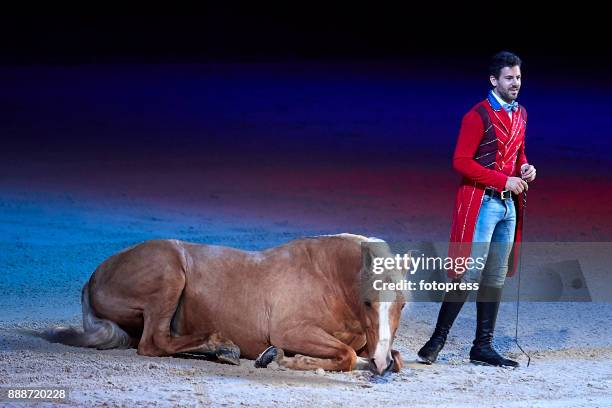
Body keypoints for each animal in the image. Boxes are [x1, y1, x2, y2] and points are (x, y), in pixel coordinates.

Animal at [43, 234, 406, 374]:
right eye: (368, 303)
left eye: (401, 305)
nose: (380, 362)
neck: (325, 274)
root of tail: (94, 277)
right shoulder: (292, 331)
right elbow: (345, 356)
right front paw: (284, 359)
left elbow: (390, 358)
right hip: (169, 275)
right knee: (154, 342)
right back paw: (222, 347)